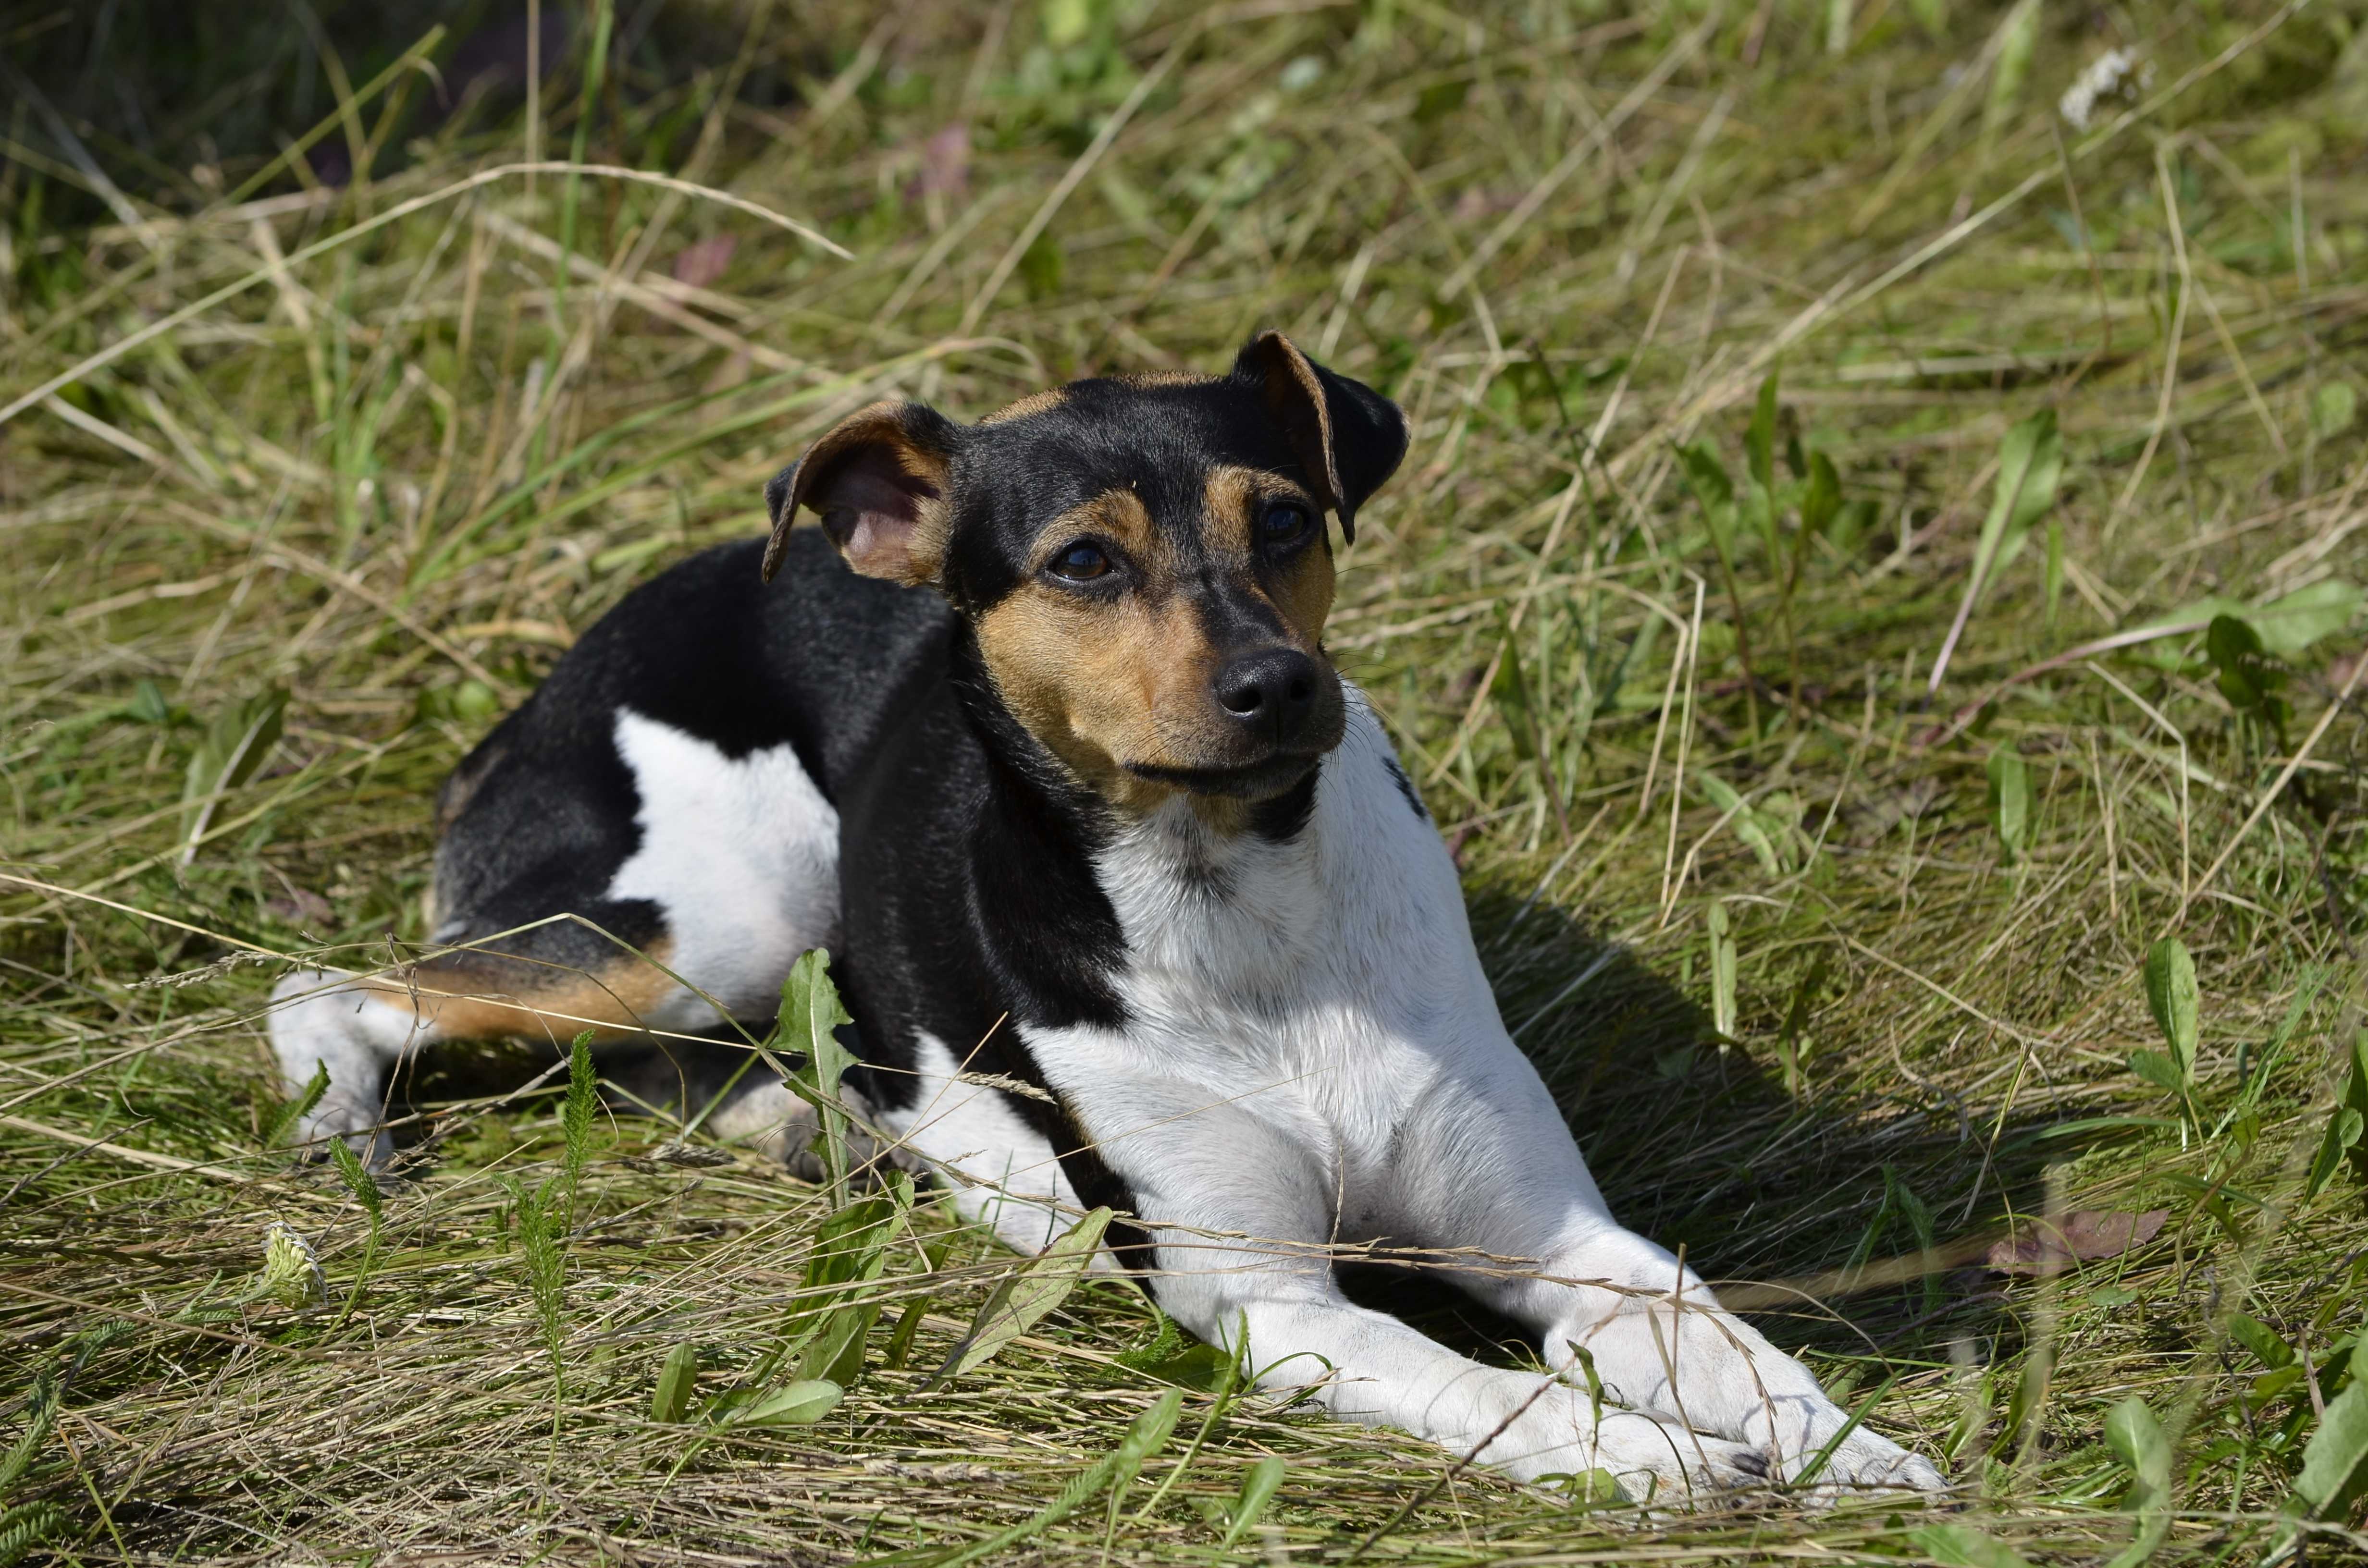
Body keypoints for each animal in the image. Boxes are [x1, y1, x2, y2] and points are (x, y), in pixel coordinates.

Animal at [272, 339, 1941, 1506]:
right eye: (1083, 560)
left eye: (1286, 519)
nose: (1282, 685)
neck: (1237, 910)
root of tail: (540, 692)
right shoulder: (1267, 1301)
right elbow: (1495, 1390)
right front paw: (1659, 1459)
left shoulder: (1564, 1242)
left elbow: (1727, 1338)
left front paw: (1839, 1443)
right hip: (711, 919)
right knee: (326, 991)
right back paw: (342, 1133)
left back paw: (814, 1123)